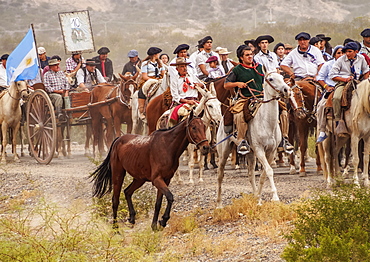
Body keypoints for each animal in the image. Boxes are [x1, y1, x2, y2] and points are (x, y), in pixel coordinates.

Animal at [217, 71, 292, 207]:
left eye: (282, 77)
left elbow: (263, 174)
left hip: (250, 153)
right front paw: (275, 197)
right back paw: (219, 205)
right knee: (220, 175)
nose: (287, 90)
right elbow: (269, 171)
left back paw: (257, 196)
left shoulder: (271, 151)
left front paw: (259, 199)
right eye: (271, 79)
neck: (266, 122)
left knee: (250, 174)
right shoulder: (259, 150)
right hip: (224, 151)